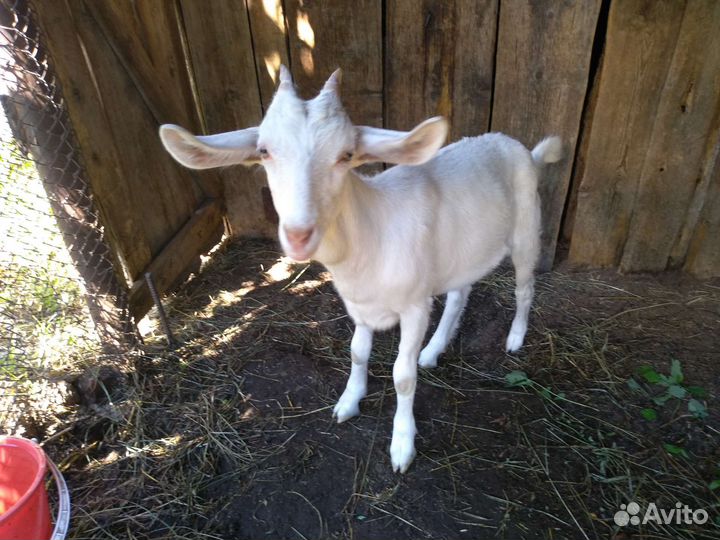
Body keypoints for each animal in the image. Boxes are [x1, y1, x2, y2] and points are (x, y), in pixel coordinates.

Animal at [159, 66, 562, 473]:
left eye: (346, 155)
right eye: (264, 151)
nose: (299, 234)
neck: (373, 231)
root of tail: (519, 148)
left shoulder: (414, 307)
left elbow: (402, 376)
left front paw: (402, 445)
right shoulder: (359, 305)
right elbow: (357, 351)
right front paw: (349, 402)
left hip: (527, 231)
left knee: (524, 288)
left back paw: (514, 338)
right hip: (458, 253)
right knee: (458, 293)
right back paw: (433, 350)